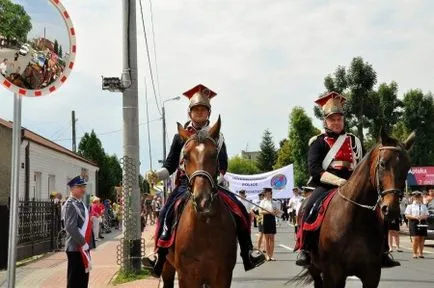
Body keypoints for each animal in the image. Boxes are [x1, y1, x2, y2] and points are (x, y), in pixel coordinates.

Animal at [160, 117, 237, 288]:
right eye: (185, 156)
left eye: (214, 154)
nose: (203, 200)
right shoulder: (187, 277)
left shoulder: (222, 276)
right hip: (167, 267)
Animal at [296, 131, 416, 288]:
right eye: (382, 164)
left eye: (407, 167)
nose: (392, 209)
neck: (356, 217)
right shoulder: (332, 274)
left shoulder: (372, 275)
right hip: (314, 268)